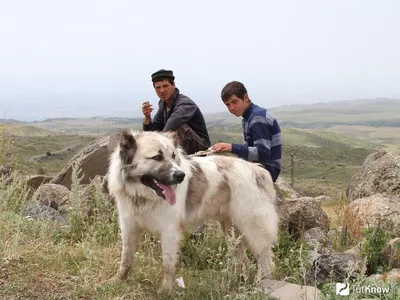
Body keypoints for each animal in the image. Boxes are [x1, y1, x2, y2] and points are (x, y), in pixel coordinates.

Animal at [108, 129, 280, 292]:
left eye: (173, 156)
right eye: (157, 157)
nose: (180, 175)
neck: (143, 196)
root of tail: (258, 171)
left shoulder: (169, 232)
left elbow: (168, 264)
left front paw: (166, 290)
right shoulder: (129, 227)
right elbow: (126, 258)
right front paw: (118, 280)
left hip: (253, 231)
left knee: (266, 263)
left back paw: (263, 287)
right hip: (232, 231)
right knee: (242, 259)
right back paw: (237, 283)